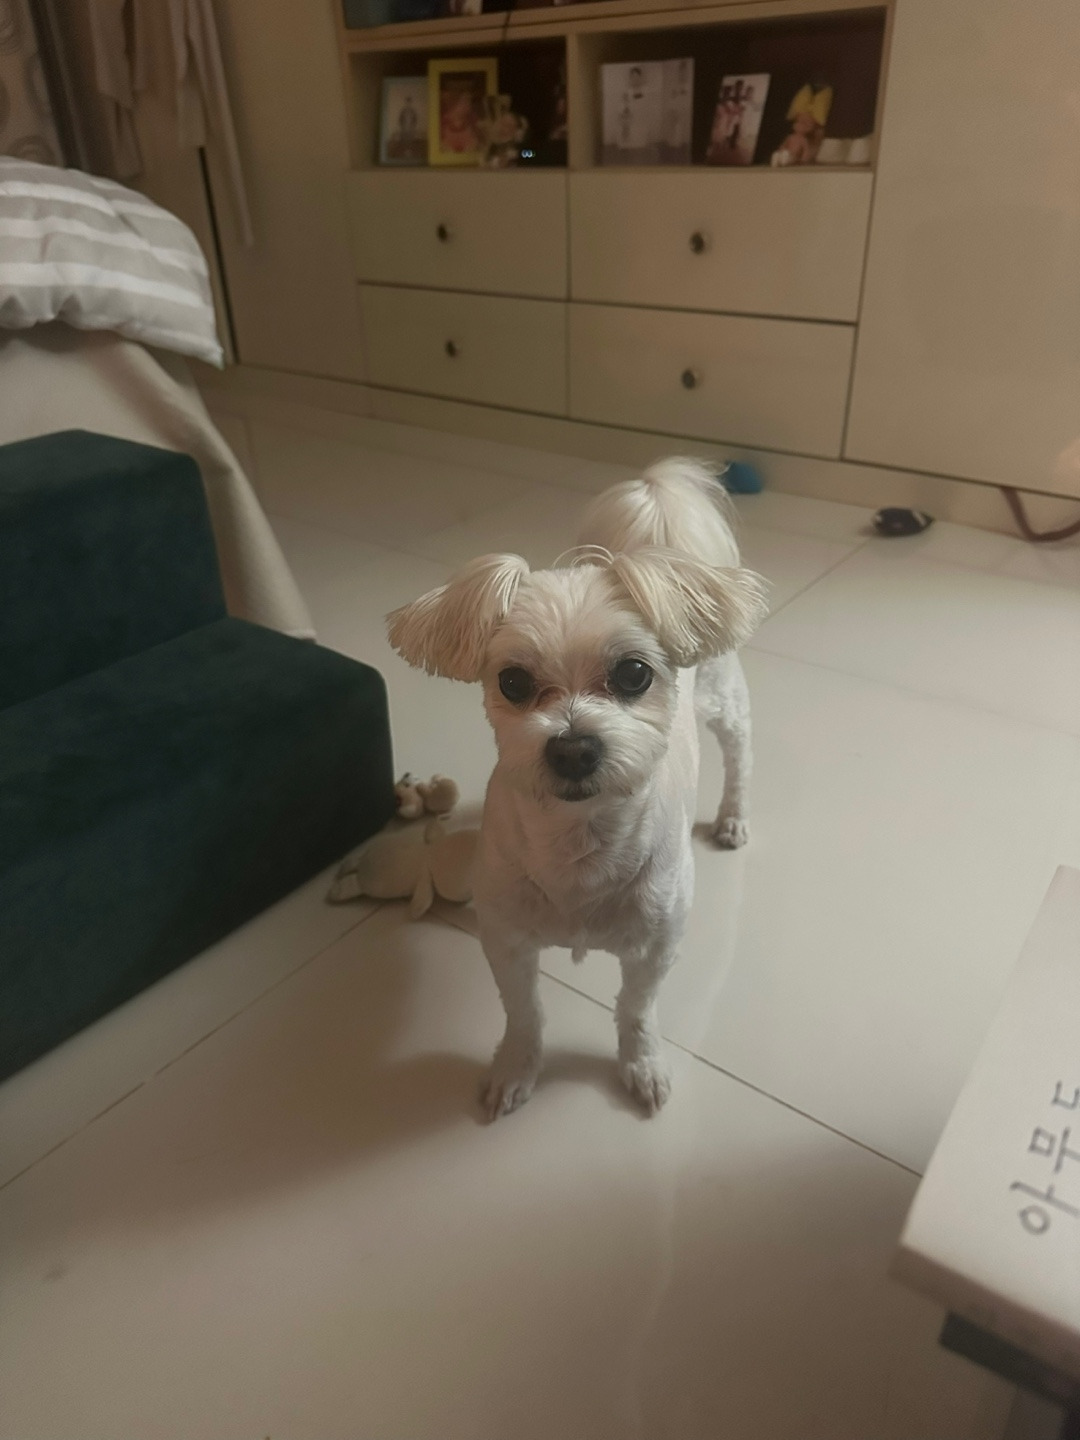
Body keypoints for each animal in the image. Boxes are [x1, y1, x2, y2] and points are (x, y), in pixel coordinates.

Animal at [387, 458, 768, 1120]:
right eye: (513, 681)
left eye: (634, 674)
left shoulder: (656, 945)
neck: (580, 843)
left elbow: (637, 1010)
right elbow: (523, 1013)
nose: (572, 748)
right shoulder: (507, 941)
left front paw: (641, 1064)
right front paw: (517, 1067)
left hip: (726, 705)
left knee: (740, 758)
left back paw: (732, 817)